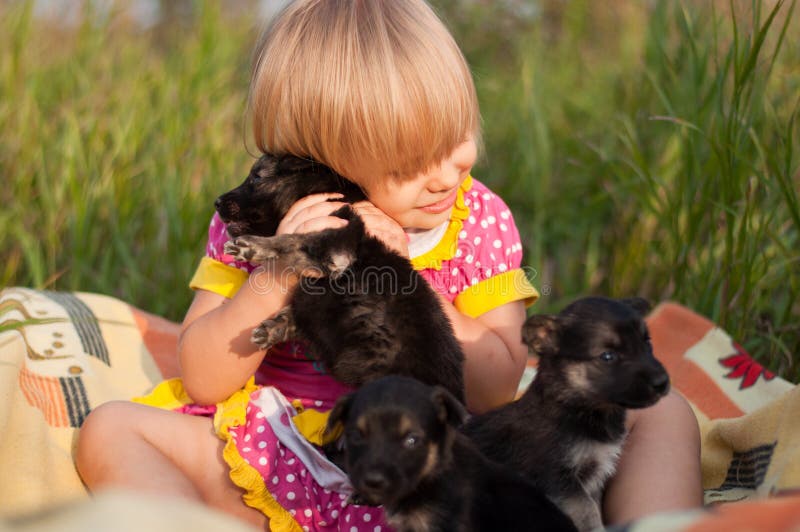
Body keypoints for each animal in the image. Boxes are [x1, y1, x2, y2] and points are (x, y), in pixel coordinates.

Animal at [216, 152, 466, 402]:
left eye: (257, 177)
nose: (216, 202)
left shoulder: (335, 247)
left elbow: (291, 239)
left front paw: (253, 247)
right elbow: (296, 313)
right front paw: (272, 328)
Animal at [462, 298, 668, 528]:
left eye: (647, 343)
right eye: (608, 356)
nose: (662, 382)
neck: (575, 406)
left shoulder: (593, 476)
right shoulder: (557, 479)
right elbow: (588, 512)